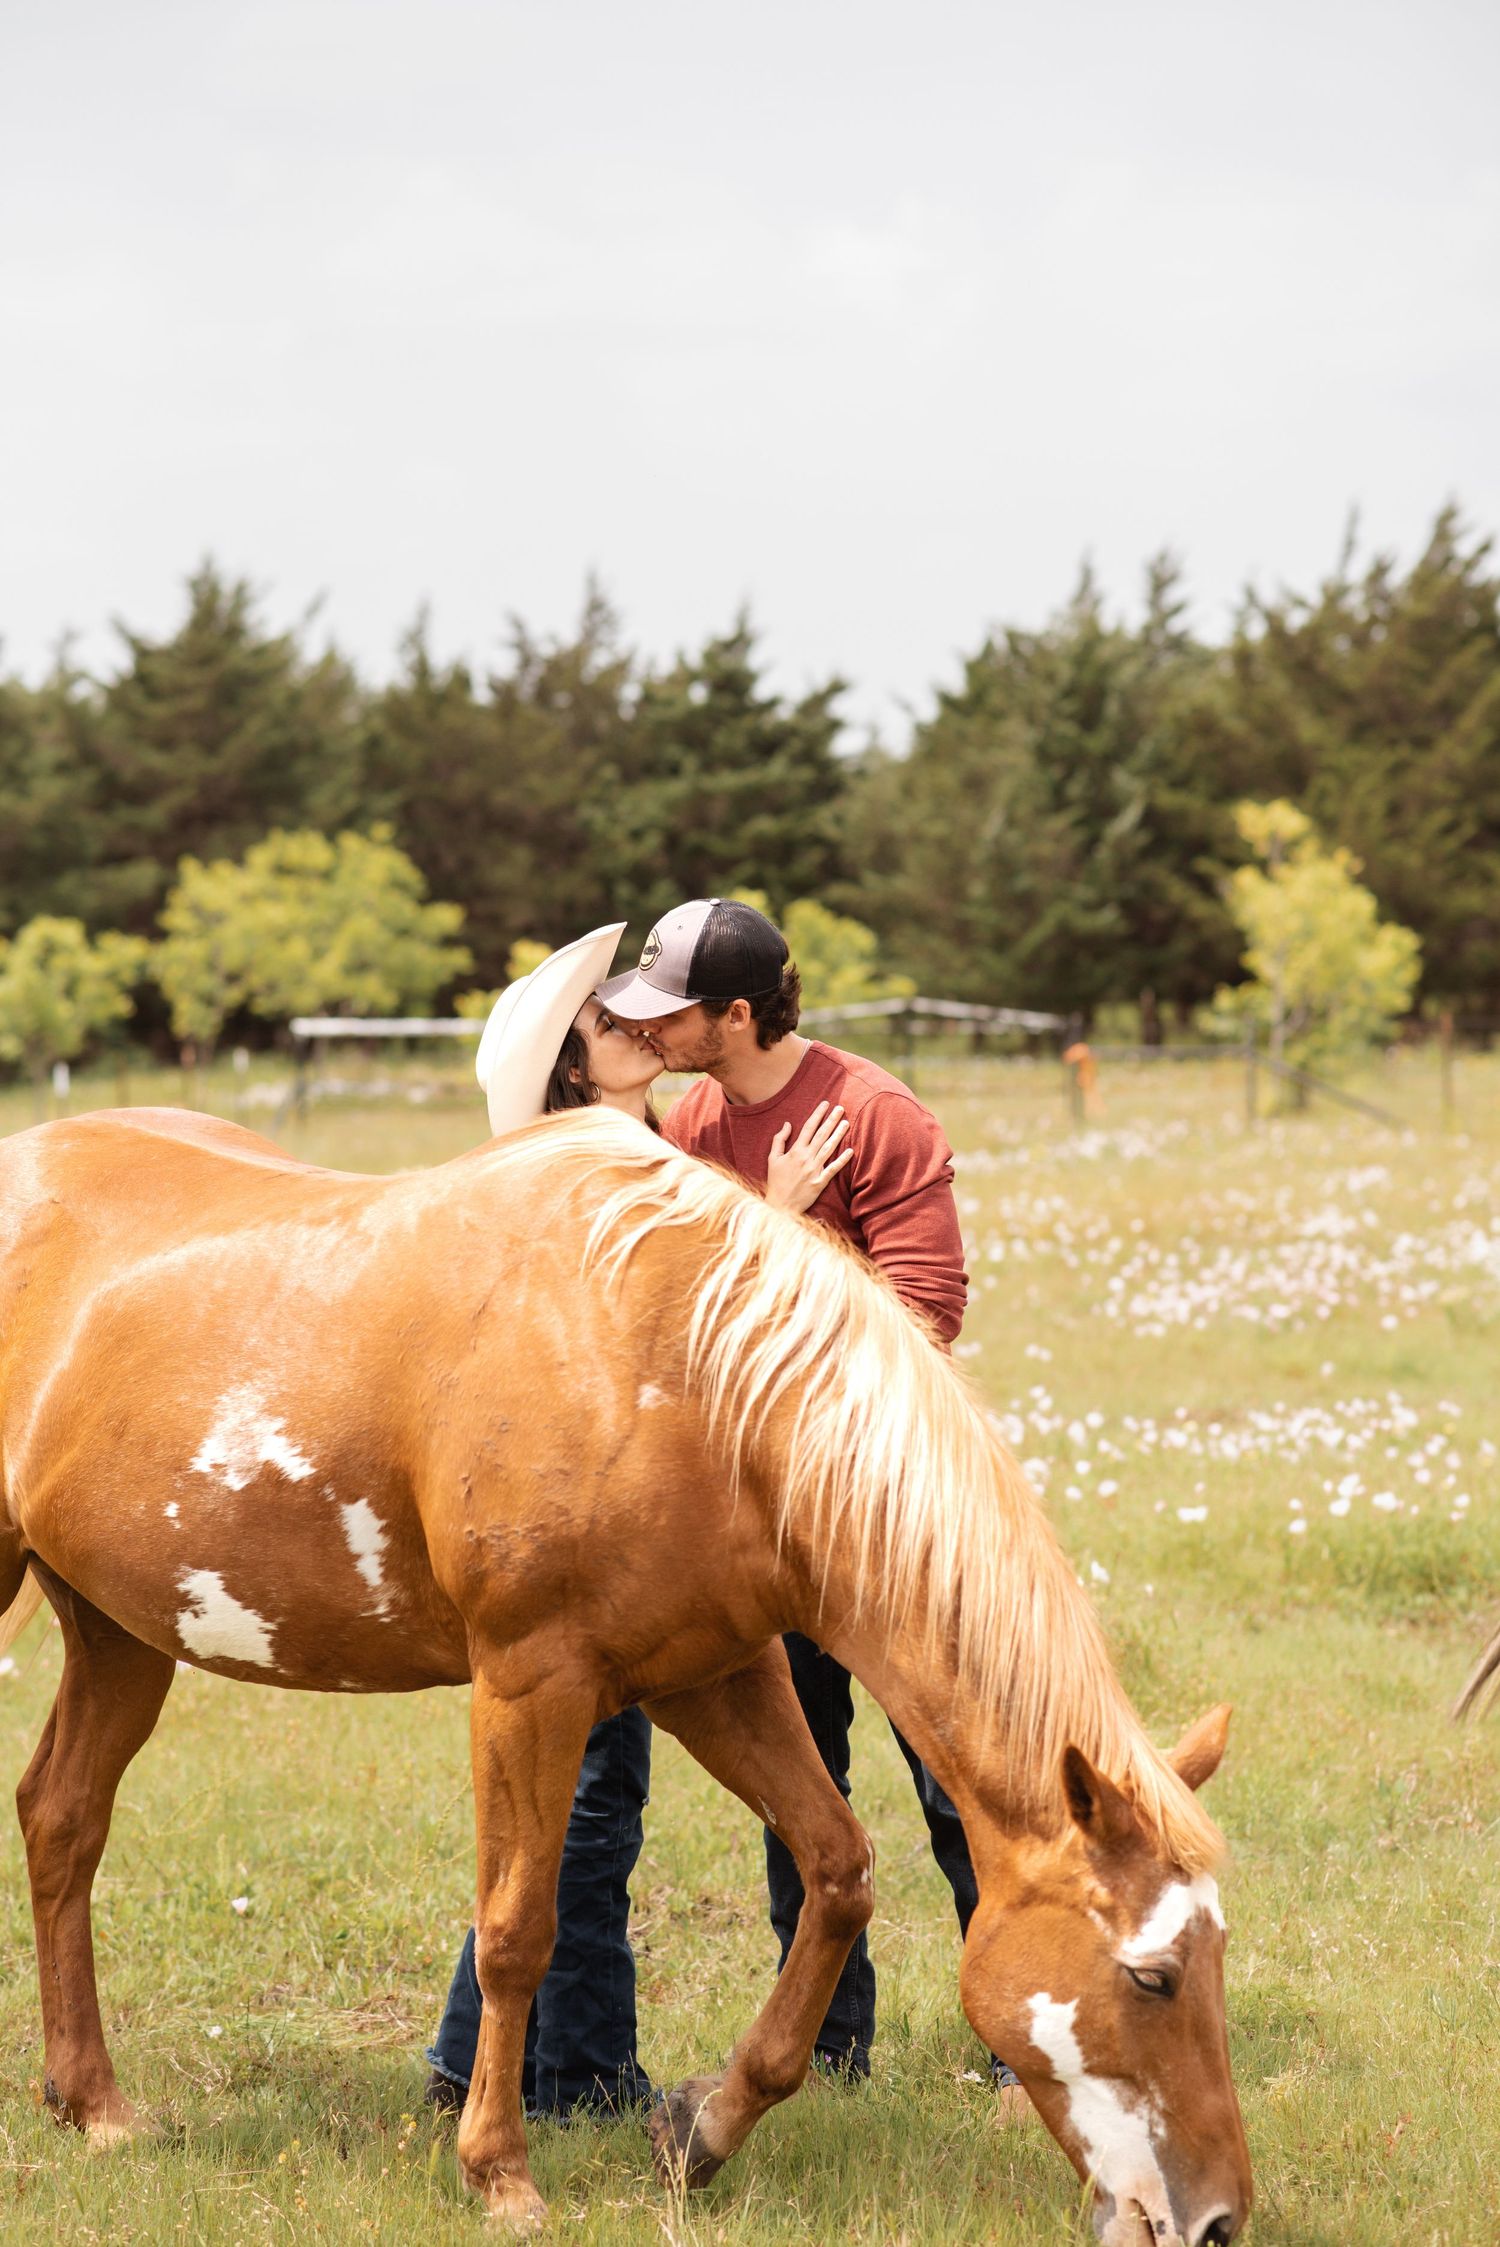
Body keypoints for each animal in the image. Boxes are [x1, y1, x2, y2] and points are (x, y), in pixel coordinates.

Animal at [0, 1104, 1252, 2245]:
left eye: (1216, 1959)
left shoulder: (717, 1673)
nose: (1215, 2221)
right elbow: (517, 1931)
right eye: (1151, 1978)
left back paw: (94, 2104)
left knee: (62, 1817)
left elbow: (836, 1869)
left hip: (119, 1630)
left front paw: (705, 2128)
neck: (682, 1369)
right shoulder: (529, 1685)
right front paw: (499, 2174)